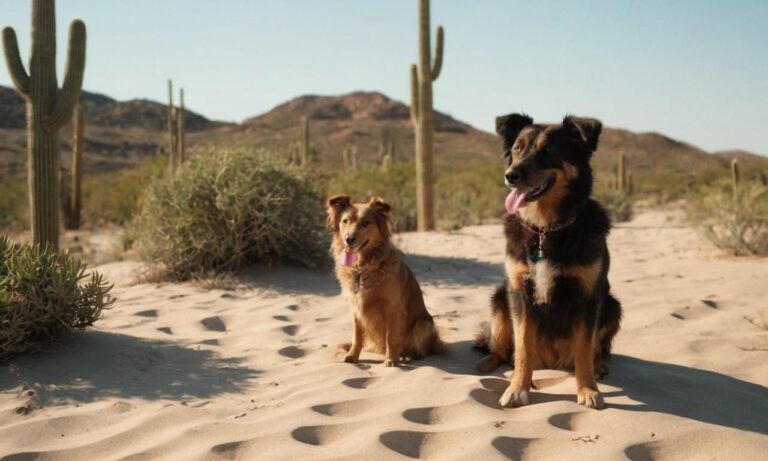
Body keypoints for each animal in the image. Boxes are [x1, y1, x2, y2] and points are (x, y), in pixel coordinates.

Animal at [326, 195, 444, 366]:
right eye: (345, 221)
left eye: (366, 222)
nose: (349, 239)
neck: (363, 268)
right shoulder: (356, 307)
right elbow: (357, 336)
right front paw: (352, 355)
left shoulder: (392, 308)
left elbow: (391, 336)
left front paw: (391, 359)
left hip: (423, 324)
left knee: (421, 351)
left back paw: (407, 356)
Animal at [476, 113, 620, 408]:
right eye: (517, 148)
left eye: (549, 151)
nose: (511, 176)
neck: (546, 229)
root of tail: (552, 361)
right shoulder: (519, 292)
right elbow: (522, 348)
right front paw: (517, 388)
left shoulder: (589, 296)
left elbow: (584, 350)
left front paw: (588, 390)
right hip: (499, 298)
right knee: (504, 350)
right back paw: (491, 362)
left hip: (613, 306)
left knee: (594, 351)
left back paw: (599, 365)